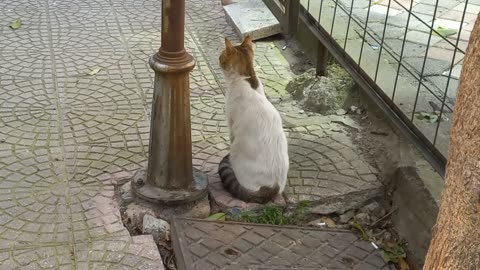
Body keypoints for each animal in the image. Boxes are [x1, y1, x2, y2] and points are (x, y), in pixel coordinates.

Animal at [218, 36, 288, 205]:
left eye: (221, 56)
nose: (218, 58)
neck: (247, 78)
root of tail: (273, 187)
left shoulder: (231, 124)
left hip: (236, 152)